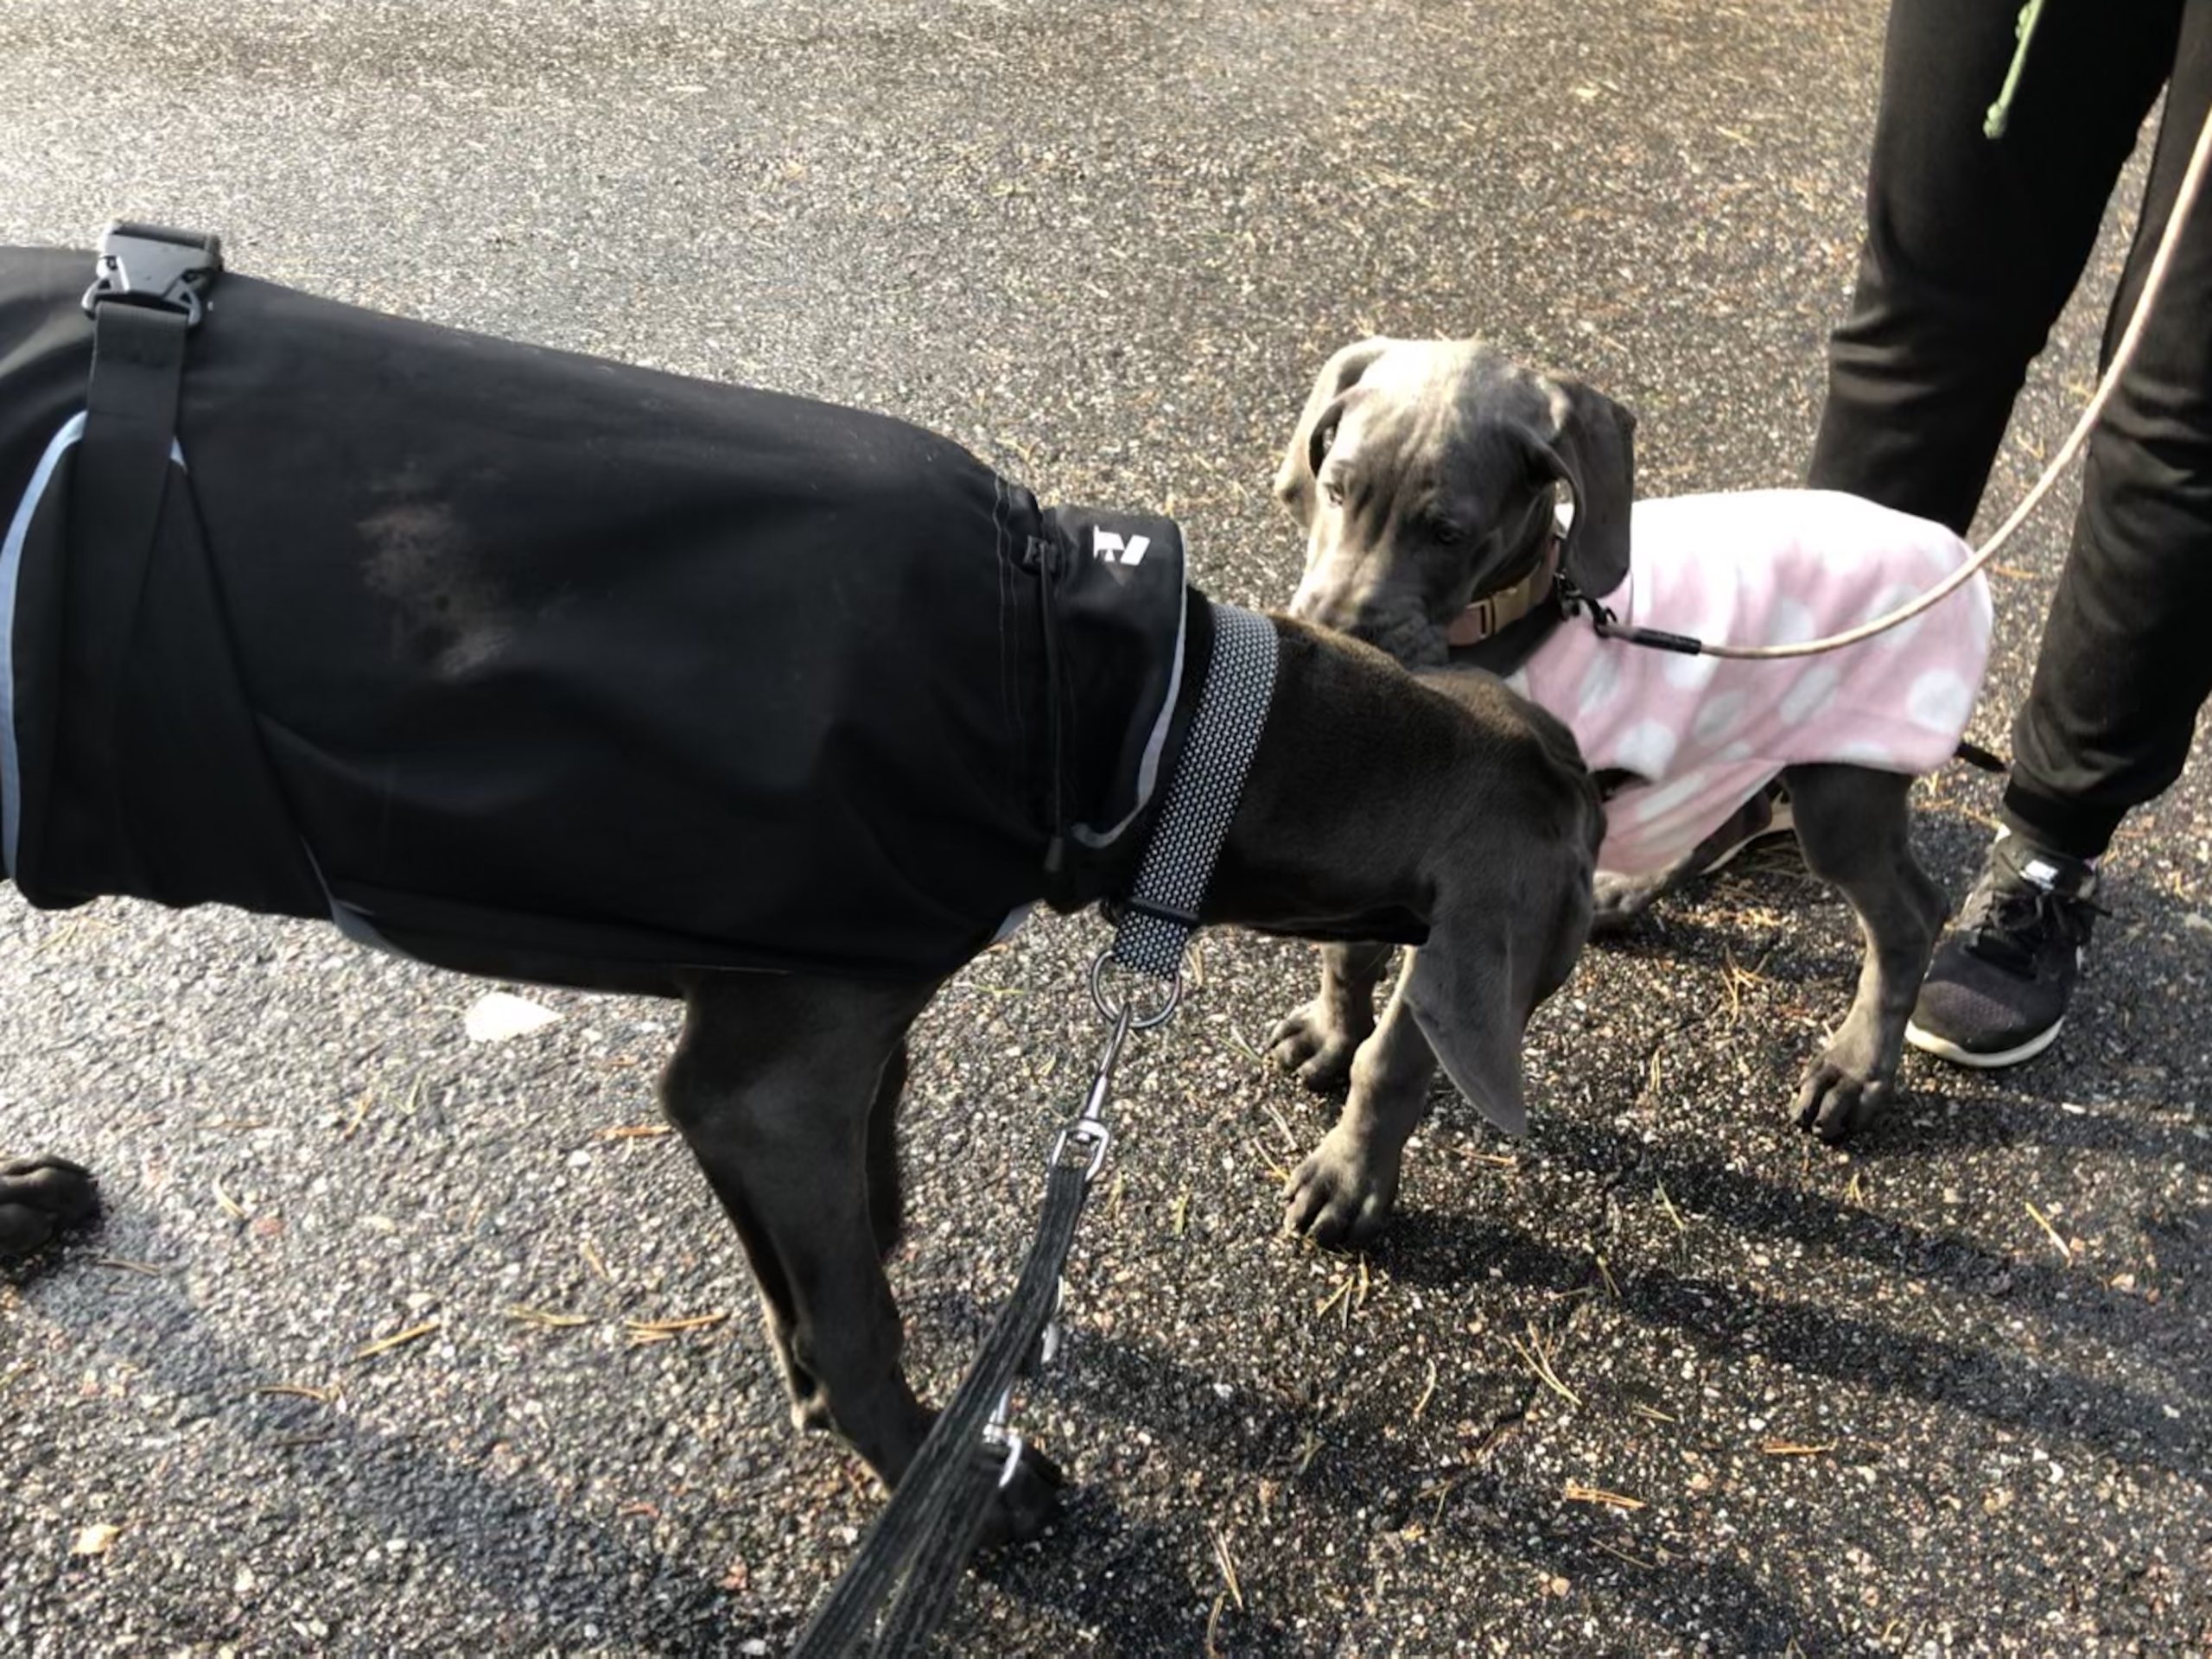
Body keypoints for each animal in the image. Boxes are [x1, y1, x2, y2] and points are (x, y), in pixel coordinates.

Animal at [0, 246, 1602, 1540]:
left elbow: (838, 1238)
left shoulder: (795, 1042)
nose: (1618, 907)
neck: (1139, 709)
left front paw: (822, 1373)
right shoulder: (780, 1080)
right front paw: (955, 1480)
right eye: (1581, 878)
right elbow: (861, 1316)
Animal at [1269, 337, 1994, 1166]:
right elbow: (1347, 957)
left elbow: (1397, 1052)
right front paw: (1332, 1034)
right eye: (1335, 490)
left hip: (1846, 781)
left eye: (1448, 533)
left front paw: (1350, 1172)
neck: (1511, 621)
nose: (1331, 638)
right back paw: (1624, 893)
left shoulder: (1486, 888)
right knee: (1734, 815)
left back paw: (1856, 1071)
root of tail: (1956, 559)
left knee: (1910, 916)